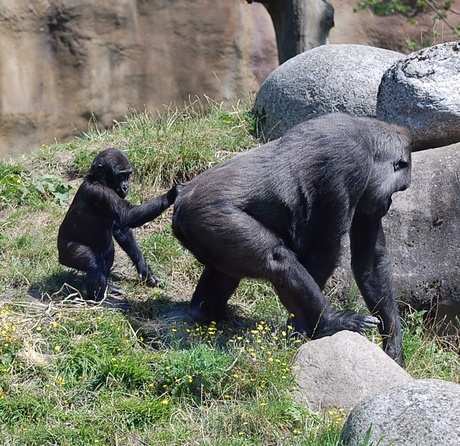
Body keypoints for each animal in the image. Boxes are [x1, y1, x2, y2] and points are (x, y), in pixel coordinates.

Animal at [57, 148, 180, 302]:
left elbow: (121, 229)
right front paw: (172, 194)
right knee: (93, 263)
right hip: (68, 253)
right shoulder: (101, 193)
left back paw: (108, 288)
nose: (126, 186)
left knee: (108, 253)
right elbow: (128, 215)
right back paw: (98, 299)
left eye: (128, 175)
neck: (98, 180)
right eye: (121, 176)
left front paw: (144, 270)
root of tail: (60, 257)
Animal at [172, 113, 410, 364]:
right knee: (277, 260)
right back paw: (330, 322)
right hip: (207, 215)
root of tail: (181, 198)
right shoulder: (351, 160)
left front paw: (393, 344)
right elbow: (325, 248)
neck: (367, 138)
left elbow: (370, 261)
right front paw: (304, 326)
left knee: (226, 268)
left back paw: (205, 312)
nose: (388, 205)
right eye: (399, 189)